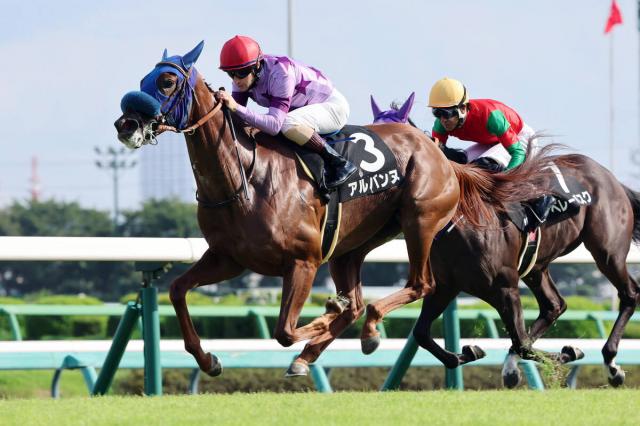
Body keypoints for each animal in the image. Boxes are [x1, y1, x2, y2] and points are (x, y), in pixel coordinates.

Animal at [113, 41, 556, 380]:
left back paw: (364, 328)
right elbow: (177, 289)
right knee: (362, 300)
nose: (126, 124)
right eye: (142, 80)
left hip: (420, 220)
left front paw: (324, 317)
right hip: (353, 245)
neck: (243, 178)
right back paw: (324, 348)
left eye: (167, 81)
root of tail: (442, 156)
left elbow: (285, 330)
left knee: (419, 284)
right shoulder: (228, 258)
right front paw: (209, 360)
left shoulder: (303, 262)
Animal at [371, 93, 640, 387]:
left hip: (607, 251)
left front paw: (570, 351)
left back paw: (612, 364)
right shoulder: (446, 286)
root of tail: (610, 177)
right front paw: (469, 352)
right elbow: (422, 333)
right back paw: (512, 367)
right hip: (536, 265)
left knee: (629, 294)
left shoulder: (505, 286)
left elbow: (522, 342)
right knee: (553, 306)